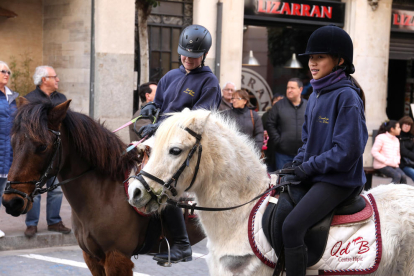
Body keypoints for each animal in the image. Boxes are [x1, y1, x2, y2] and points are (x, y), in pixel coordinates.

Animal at [2, 99, 204, 276]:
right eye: (13, 142)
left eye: (42, 146)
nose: (12, 202)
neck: (104, 193)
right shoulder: (92, 258)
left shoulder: (117, 258)